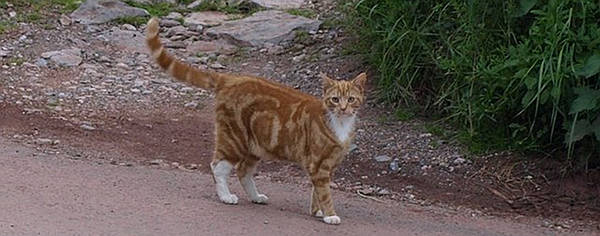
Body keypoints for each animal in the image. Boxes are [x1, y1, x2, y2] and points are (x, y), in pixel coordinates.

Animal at [148, 17, 368, 225]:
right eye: (335, 99)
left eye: (351, 99)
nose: (343, 108)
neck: (340, 124)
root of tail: (231, 79)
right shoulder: (318, 164)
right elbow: (325, 193)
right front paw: (330, 215)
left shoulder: (327, 165)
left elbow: (317, 192)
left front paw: (318, 212)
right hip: (234, 138)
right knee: (218, 166)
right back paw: (226, 196)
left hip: (255, 145)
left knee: (243, 171)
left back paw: (256, 197)